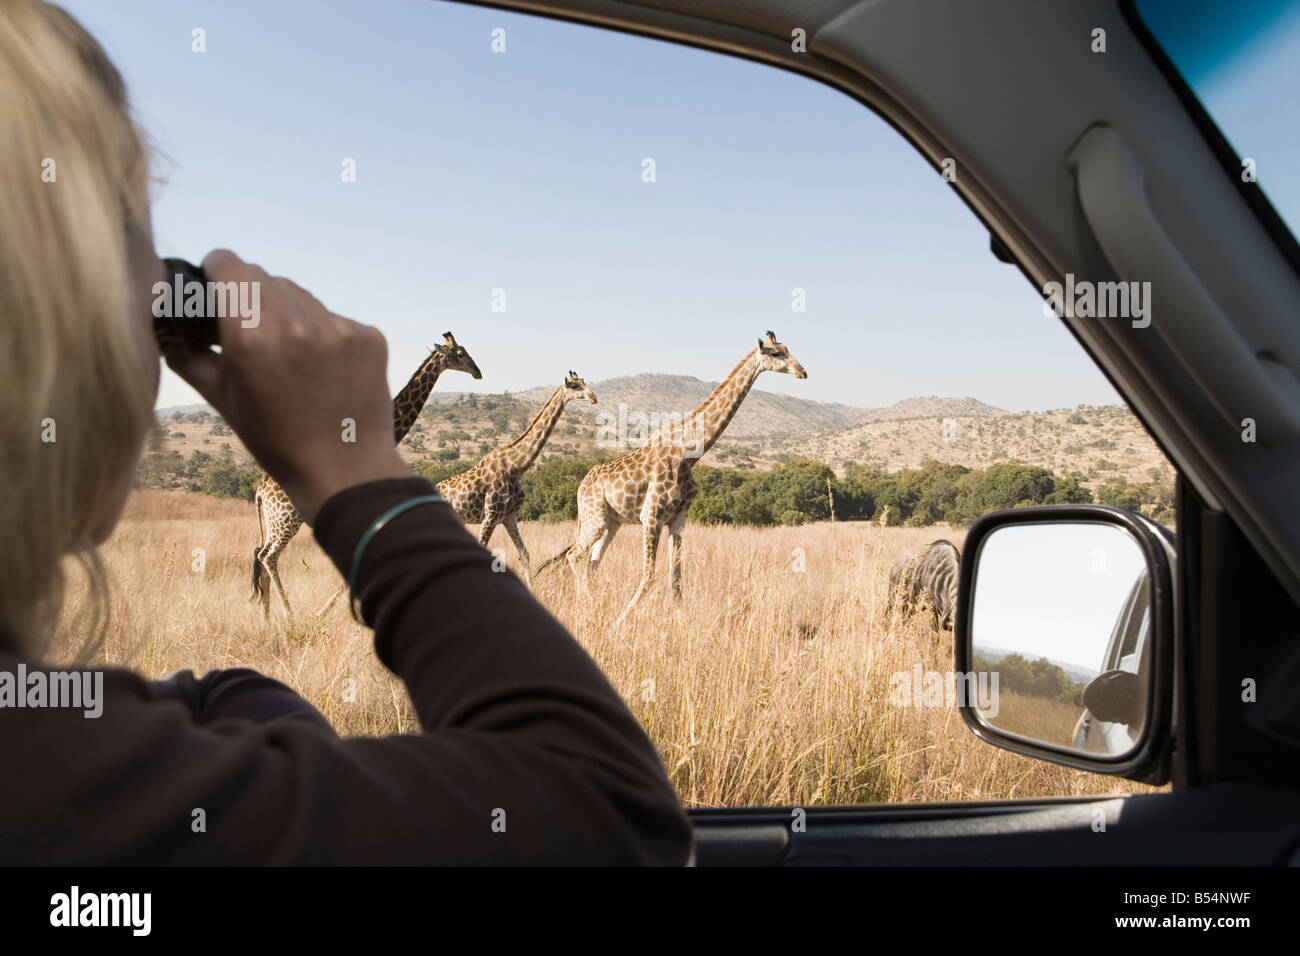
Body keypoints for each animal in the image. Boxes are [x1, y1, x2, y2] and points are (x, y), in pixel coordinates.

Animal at [249, 332, 483, 624]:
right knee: (269, 557)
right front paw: (323, 614)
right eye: (461, 354)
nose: (478, 372)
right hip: (286, 520)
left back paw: (267, 619)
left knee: (260, 553)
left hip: (274, 521)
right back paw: (291, 617)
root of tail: (260, 490)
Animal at [436, 371, 598, 582]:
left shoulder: (509, 516)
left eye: (584, 382)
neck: (516, 467)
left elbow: (524, 555)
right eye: (574, 386)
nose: (594, 398)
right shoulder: (490, 515)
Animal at [535, 332, 800, 624]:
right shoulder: (651, 516)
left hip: (612, 522)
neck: (690, 453)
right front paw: (621, 621)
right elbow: (649, 576)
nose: (803, 372)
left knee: (592, 562)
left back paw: (593, 607)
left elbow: (676, 576)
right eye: (775, 353)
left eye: (787, 349)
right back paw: (590, 607)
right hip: (595, 518)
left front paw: (681, 620)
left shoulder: (678, 519)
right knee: (575, 555)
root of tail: (580, 487)